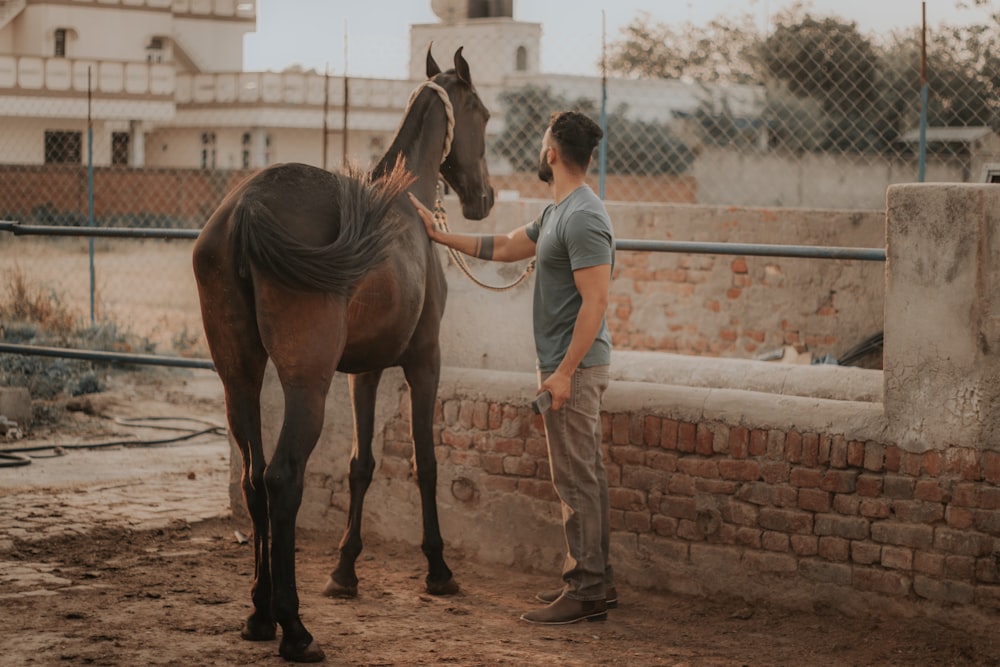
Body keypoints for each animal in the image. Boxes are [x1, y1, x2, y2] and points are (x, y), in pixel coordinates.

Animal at [189, 47, 494, 664]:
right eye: (484, 114)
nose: (485, 197)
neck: (407, 202)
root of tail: (247, 209)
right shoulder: (424, 362)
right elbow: (426, 463)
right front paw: (438, 569)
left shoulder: (364, 372)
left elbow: (361, 465)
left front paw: (344, 571)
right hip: (307, 385)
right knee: (282, 478)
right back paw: (294, 628)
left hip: (240, 381)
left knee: (253, 480)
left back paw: (259, 615)